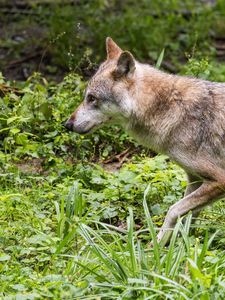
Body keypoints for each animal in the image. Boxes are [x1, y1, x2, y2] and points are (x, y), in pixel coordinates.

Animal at [63, 37, 225, 244]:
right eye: (86, 97)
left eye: (92, 98)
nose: (67, 124)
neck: (171, 108)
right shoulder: (195, 179)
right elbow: (188, 218)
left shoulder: (219, 180)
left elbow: (173, 211)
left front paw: (156, 247)